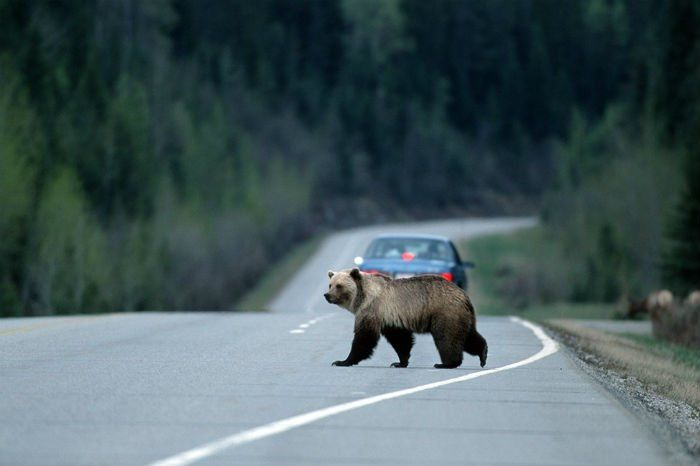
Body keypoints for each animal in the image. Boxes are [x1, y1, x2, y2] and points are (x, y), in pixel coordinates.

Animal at [324, 268, 484, 370]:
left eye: (339, 285)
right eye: (330, 284)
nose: (327, 295)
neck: (361, 297)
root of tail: (463, 295)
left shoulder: (372, 309)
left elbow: (364, 337)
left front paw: (342, 361)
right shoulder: (390, 317)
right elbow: (400, 340)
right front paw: (399, 362)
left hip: (445, 312)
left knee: (447, 337)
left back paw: (446, 364)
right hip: (461, 315)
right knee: (468, 336)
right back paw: (483, 354)